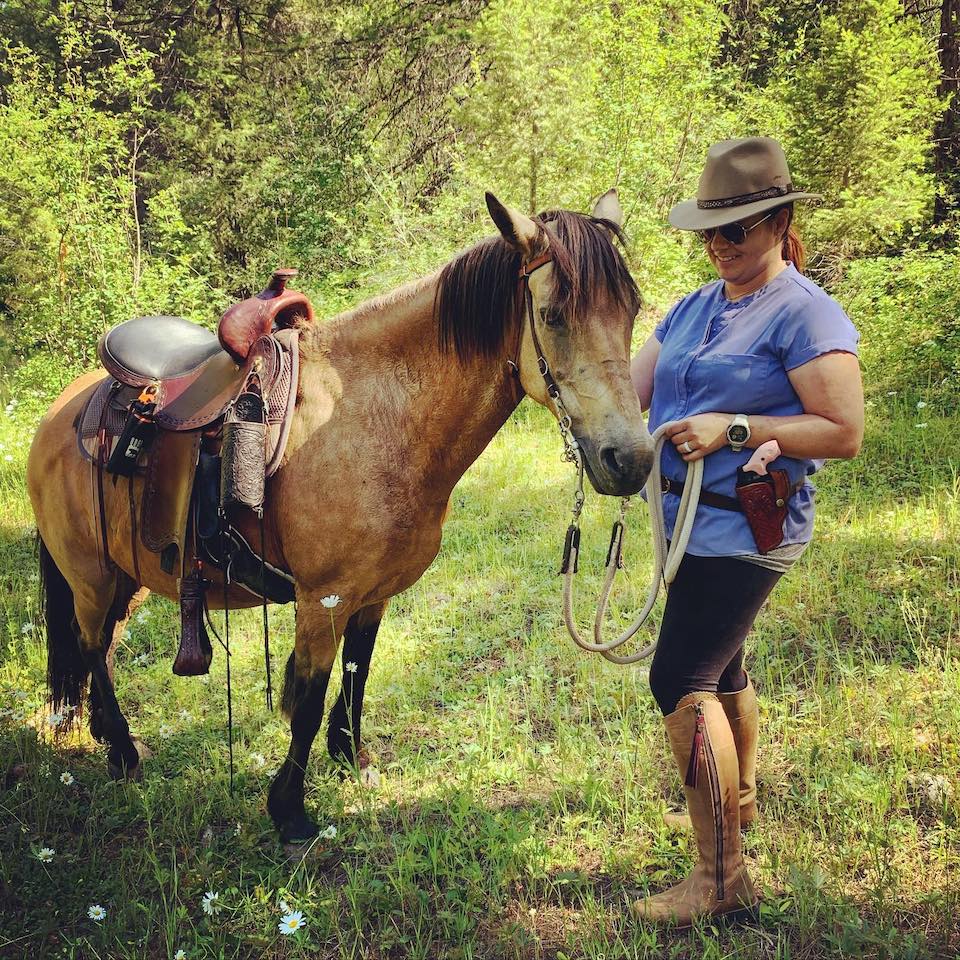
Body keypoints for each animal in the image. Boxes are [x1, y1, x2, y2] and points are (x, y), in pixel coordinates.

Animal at [31, 188, 660, 840]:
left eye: (631, 309)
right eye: (555, 315)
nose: (631, 460)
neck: (375, 419)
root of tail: (59, 413)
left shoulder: (372, 594)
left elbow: (358, 672)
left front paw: (350, 757)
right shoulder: (323, 601)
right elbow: (308, 699)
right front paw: (289, 810)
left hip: (126, 577)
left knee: (101, 645)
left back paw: (106, 734)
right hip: (90, 577)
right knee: (90, 644)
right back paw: (122, 750)